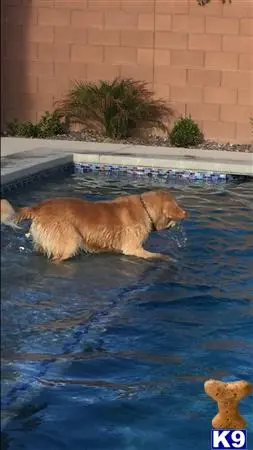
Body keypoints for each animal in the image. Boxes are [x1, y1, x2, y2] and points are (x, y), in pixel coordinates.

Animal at [0, 191, 187, 264]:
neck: (145, 208)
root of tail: (38, 207)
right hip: (70, 243)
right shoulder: (133, 249)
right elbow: (159, 255)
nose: (185, 213)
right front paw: (170, 259)